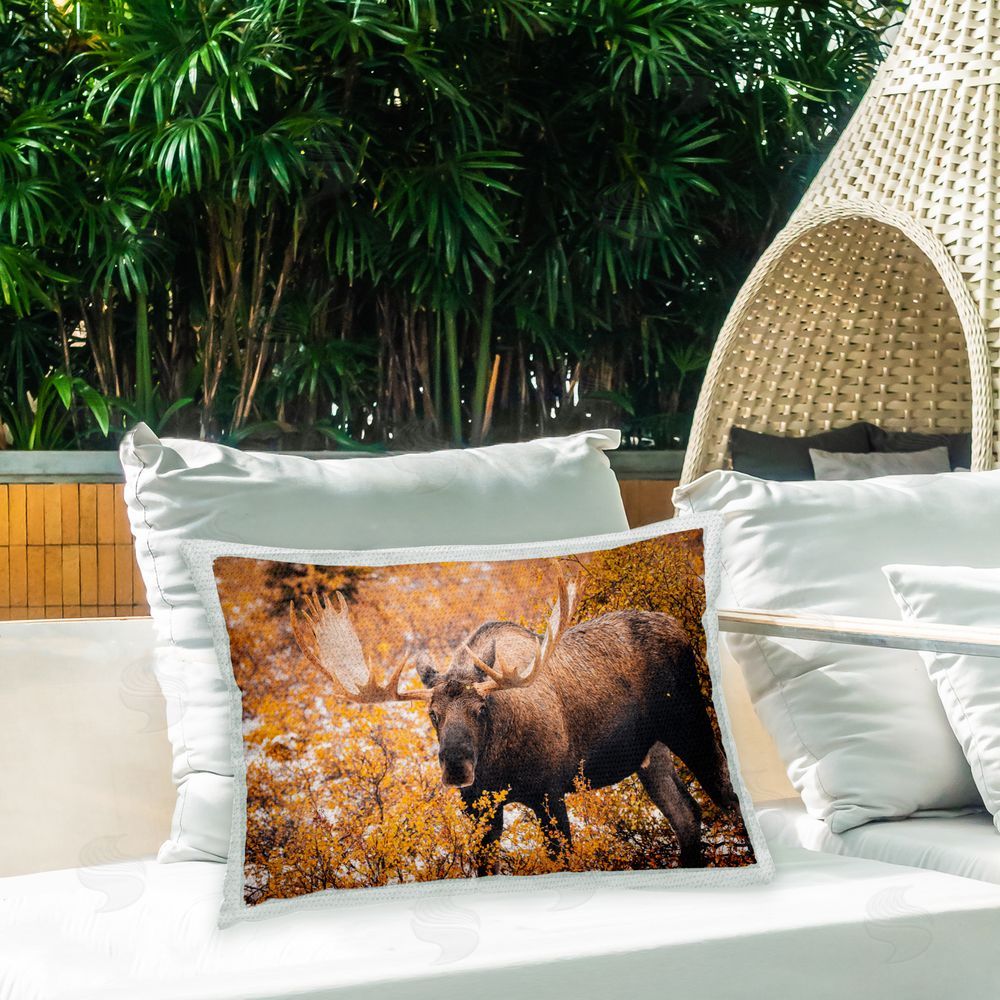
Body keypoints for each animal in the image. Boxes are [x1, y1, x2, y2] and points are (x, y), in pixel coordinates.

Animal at [289, 568, 738, 872]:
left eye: (481, 709)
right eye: (433, 714)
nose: (456, 767)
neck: (497, 765)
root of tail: (679, 626)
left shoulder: (550, 792)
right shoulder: (478, 808)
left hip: (690, 723)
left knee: (726, 795)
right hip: (651, 755)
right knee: (687, 815)